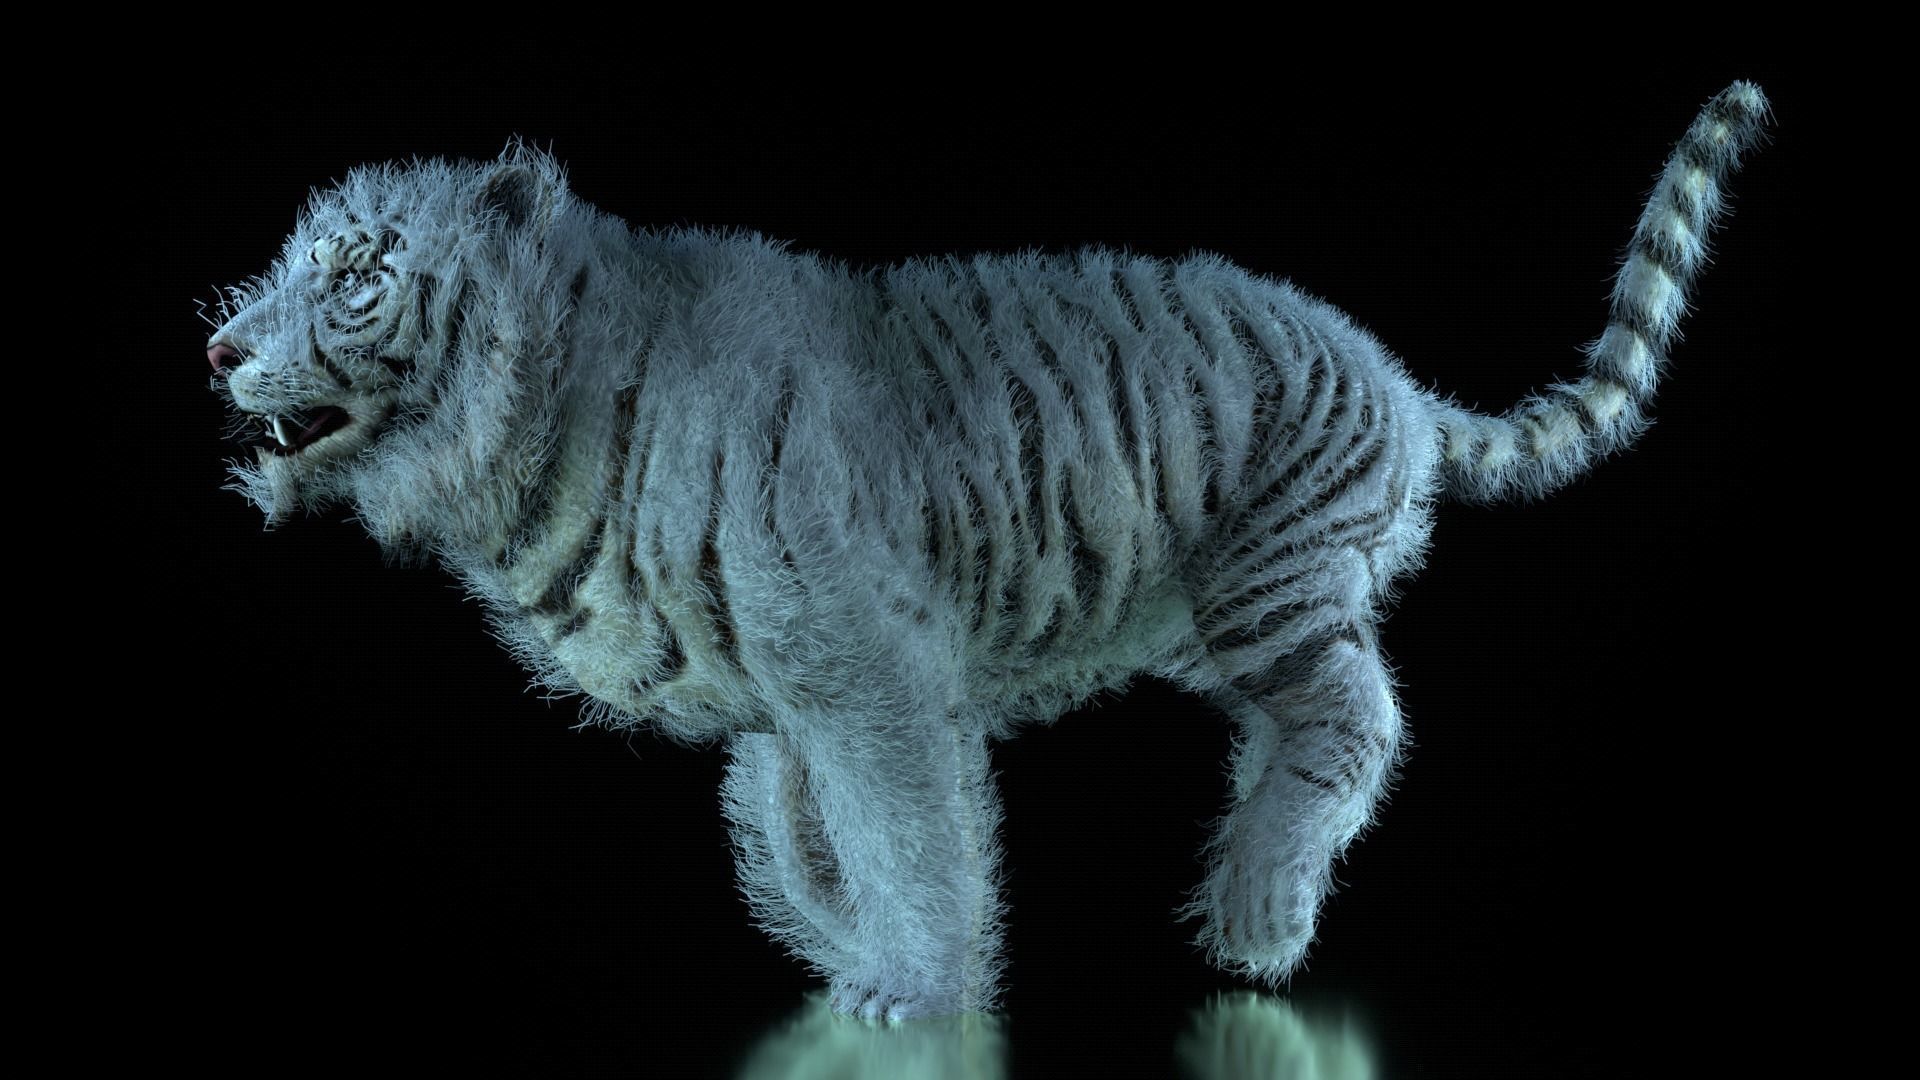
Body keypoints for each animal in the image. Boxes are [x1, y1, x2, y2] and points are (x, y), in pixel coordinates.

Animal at [205, 82, 1771, 1022]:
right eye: (288, 262)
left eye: (355, 276)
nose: (218, 347)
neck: (541, 432)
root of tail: (1389, 371)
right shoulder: (784, 705)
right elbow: (796, 844)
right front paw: (852, 965)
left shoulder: (867, 678)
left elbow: (909, 833)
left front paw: (921, 990)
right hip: (1216, 611)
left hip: (1273, 585)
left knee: (1357, 718)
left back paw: (1258, 915)